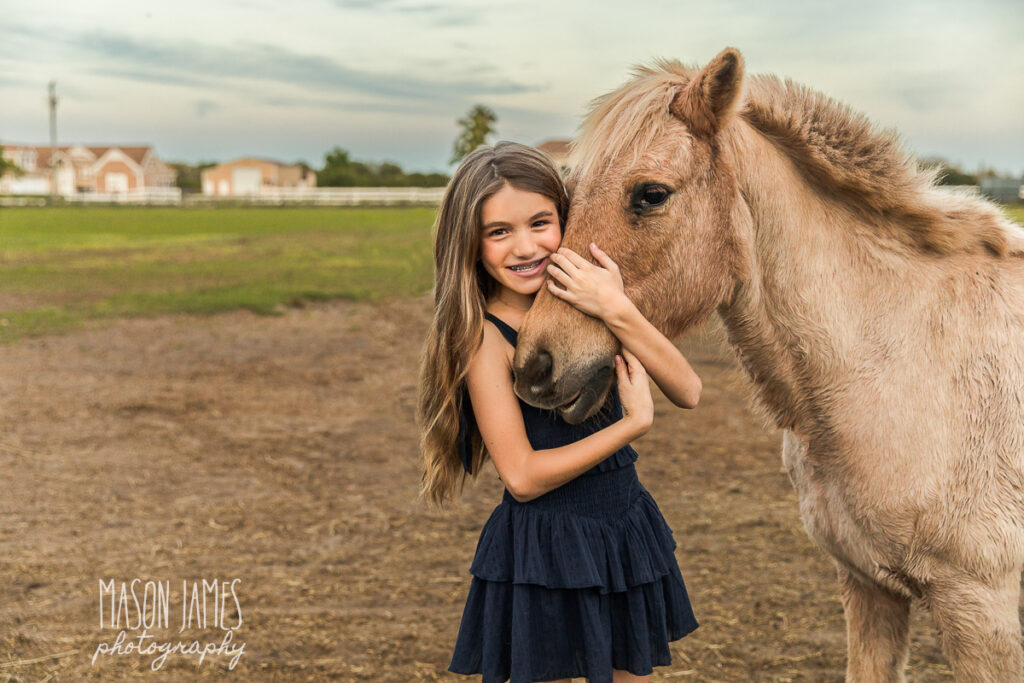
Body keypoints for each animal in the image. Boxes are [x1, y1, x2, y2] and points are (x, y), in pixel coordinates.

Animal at [516, 46, 1024, 679]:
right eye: (567, 195)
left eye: (651, 194)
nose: (533, 365)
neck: (899, 361)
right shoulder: (869, 586)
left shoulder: (982, 611)